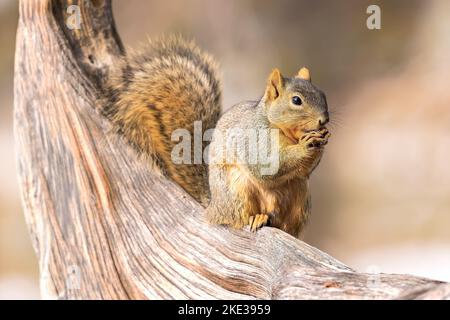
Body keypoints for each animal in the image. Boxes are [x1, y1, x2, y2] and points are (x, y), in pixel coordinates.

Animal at [206, 67, 328, 238]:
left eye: (322, 94)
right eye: (296, 100)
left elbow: (305, 170)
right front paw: (304, 146)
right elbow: (266, 165)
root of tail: (213, 209)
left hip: (300, 192)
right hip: (237, 190)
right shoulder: (254, 137)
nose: (324, 120)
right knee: (240, 217)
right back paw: (258, 217)